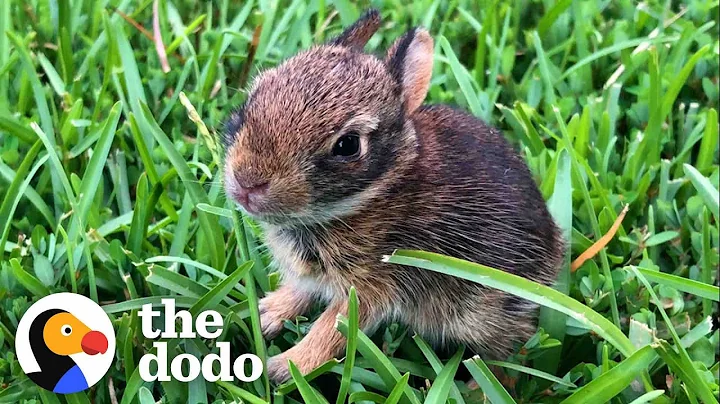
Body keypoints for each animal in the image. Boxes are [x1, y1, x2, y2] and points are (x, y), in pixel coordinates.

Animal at [222, 9, 565, 383]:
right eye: (250, 102)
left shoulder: (373, 284)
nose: (248, 183)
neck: (376, 192)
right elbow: (300, 293)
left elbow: (334, 327)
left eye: (347, 145)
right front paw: (266, 313)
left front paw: (284, 367)